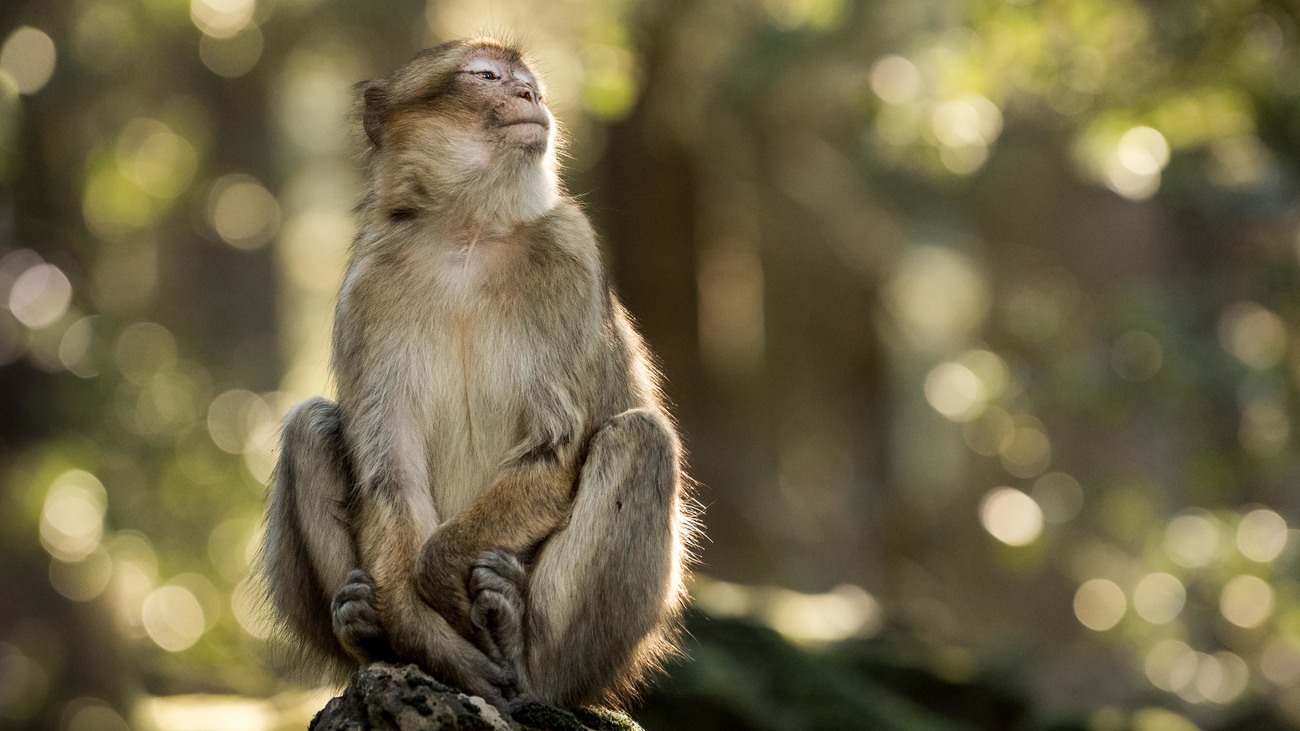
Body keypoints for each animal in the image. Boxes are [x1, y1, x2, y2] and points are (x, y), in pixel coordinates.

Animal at [257, 38, 696, 707]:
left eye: (527, 80)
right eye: (487, 76)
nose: (529, 95)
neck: (469, 231)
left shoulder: (570, 252)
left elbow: (554, 450)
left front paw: (439, 575)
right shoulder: (368, 285)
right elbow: (391, 472)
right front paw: (424, 632)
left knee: (640, 439)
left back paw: (523, 650)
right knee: (309, 426)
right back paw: (371, 637)